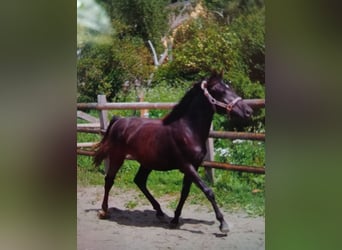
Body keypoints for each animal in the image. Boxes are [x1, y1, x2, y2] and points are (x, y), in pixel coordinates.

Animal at [93, 70, 254, 232]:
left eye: (230, 87)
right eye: (219, 90)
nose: (248, 111)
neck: (188, 130)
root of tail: (119, 120)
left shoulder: (194, 166)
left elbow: (185, 192)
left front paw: (175, 220)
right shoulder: (186, 166)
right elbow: (208, 191)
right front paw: (223, 224)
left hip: (147, 162)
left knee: (139, 181)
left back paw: (160, 212)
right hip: (117, 156)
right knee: (109, 180)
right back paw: (104, 211)